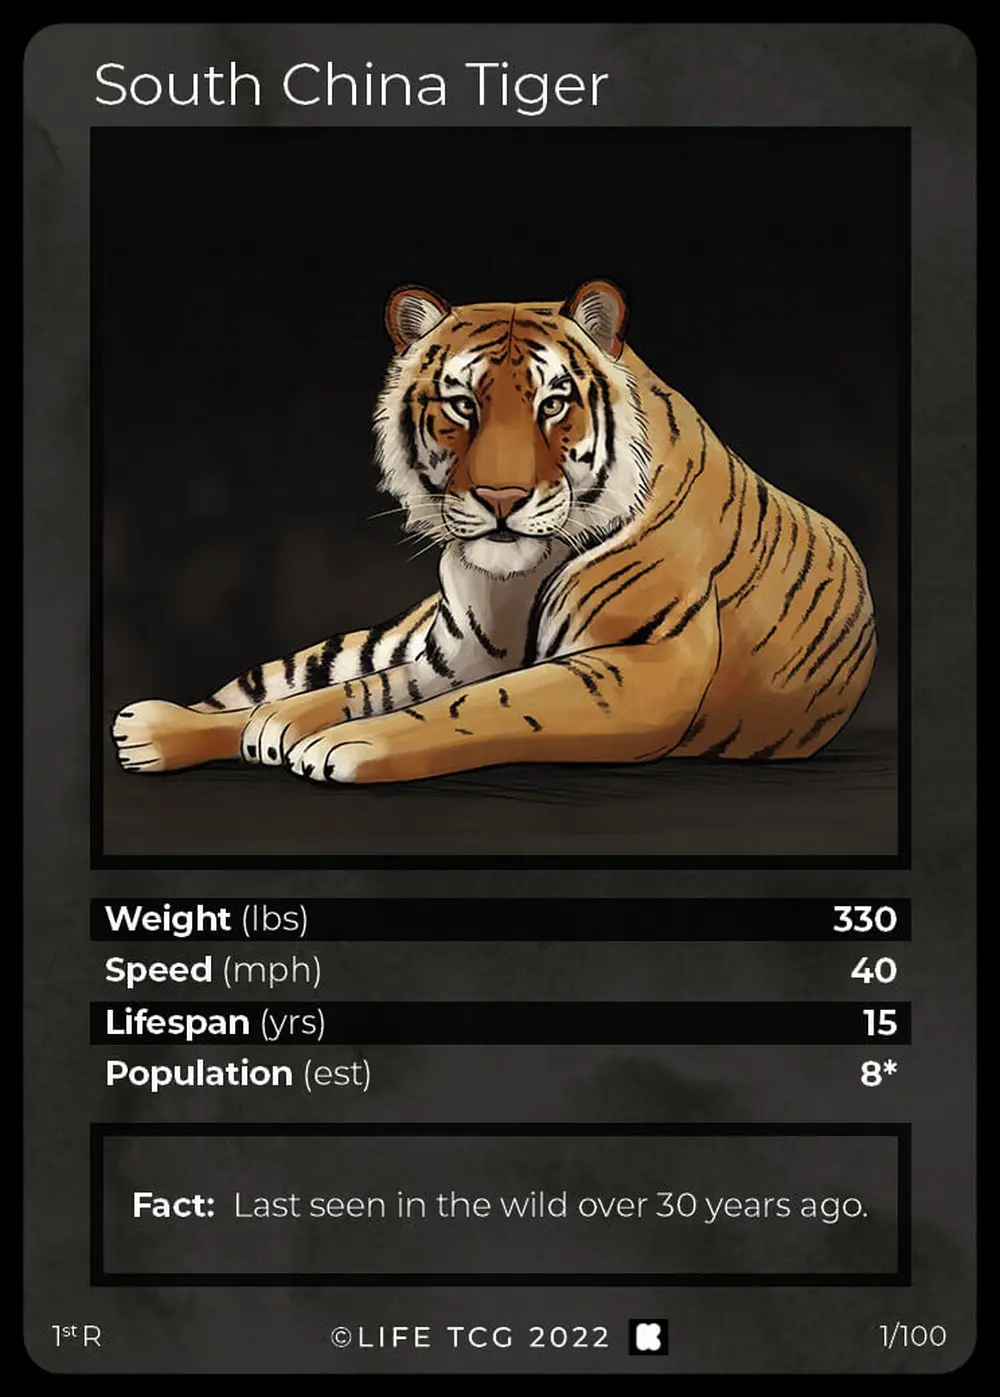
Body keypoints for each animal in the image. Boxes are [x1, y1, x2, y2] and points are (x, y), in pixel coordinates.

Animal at [111, 279, 877, 785]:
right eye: (461, 404)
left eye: (554, 403)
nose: (502, 498)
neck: (520, 575)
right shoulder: (455, 656)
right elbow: (360, 690)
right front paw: (282, 726)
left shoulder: (640, 669)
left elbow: (477, 708)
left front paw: (341, 745)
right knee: (286, 677)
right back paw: (149, 727)